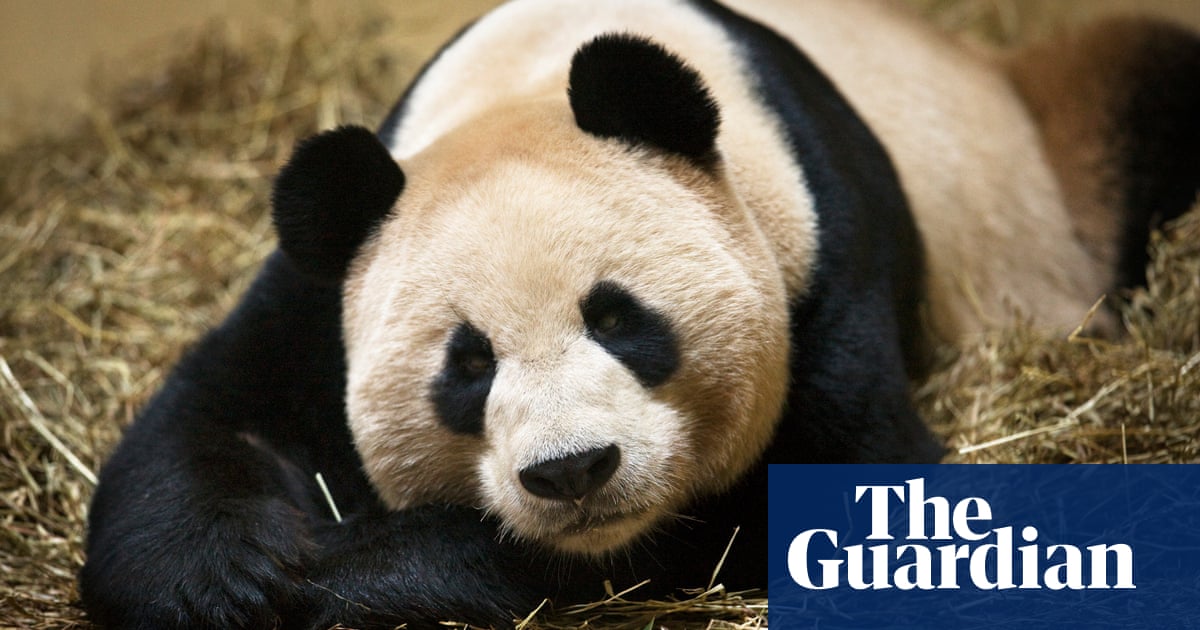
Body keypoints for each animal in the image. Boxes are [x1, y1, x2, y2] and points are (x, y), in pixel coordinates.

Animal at [80, 0, 1200, 628]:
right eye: (468, 364)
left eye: (620, 319)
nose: (573, 472)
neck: (534, 85)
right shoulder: (330, 286)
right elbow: (220, 411)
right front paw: (229, 578)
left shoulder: (825, 257)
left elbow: (829, 502)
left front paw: (344, 576)